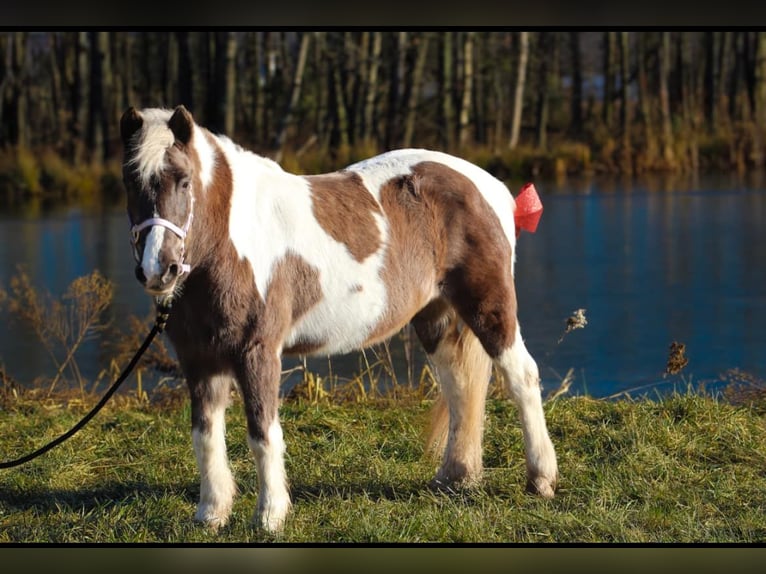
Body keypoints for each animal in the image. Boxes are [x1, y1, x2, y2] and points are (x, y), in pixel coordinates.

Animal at [118, 106, 560, 532]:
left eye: (184, 181)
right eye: (130, 183)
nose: (158, 270)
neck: (230, 244)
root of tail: (491, 187)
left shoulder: (257, 352)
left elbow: (262, 433)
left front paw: (270, 517)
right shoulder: (199, 359)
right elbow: (205, 435)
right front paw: (211, 514)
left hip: (488, 305)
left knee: (522, 378)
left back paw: (541, 479)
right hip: (436, 318)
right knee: (460, 389)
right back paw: (454, 477)